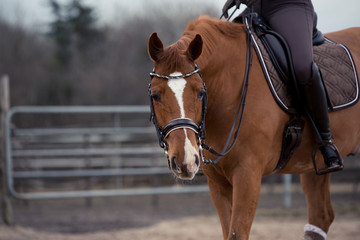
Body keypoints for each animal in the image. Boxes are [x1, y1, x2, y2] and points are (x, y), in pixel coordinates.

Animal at [147, 15, 360, 239]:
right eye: (155, 95)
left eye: (200, 93)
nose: (185, 160)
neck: (229, 87)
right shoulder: (217, 181)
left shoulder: (248, 174)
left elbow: (237, 233)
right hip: (313, 164)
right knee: (321, 216)